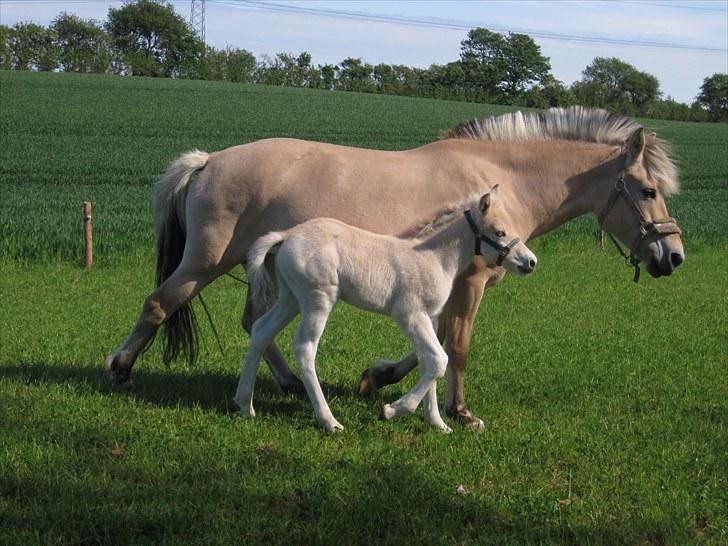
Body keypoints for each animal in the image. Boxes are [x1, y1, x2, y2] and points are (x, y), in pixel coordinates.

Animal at [233, 185, 536, 432]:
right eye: (499, 232)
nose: (531, 262)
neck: (434, 257)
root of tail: (287, 235)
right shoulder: (409, 315)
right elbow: (438, 360)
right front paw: (393, 410)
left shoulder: (430, 317)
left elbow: (428, 360)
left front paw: (437, 423)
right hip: (317, 300)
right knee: (305, 348)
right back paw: (329, 420)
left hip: (290, 299)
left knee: (261, 331)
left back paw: (245, 404)